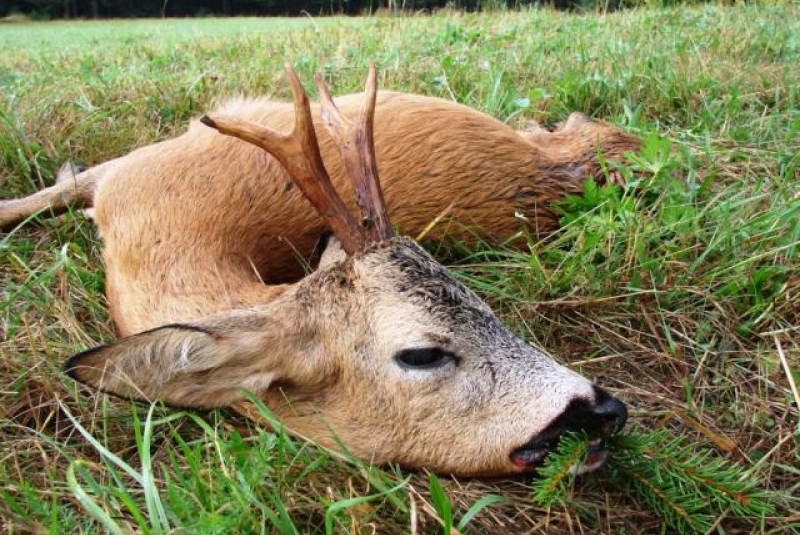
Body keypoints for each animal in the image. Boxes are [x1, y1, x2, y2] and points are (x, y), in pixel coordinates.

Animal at [1, 63, 636, 478]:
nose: (608, 410)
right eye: (421, 353)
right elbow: (51, 193)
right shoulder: (130, 167)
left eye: (489, 310)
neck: (154, 243)